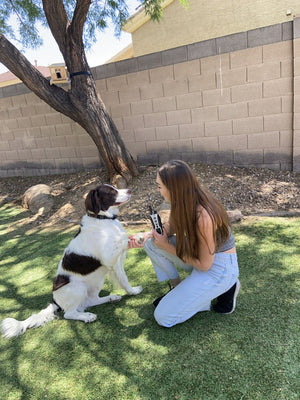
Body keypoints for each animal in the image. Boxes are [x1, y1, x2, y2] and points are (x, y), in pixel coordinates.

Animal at [1, 184, 142, 338]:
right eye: (111, 191)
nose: (129, 190)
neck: (103, 219)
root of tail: (55, 301)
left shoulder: (116, 263)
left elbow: (124, 279)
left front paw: (132, 291)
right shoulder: (109, 257)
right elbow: (123, 247)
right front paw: (140, 236)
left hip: (96, 282)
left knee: (91, 301)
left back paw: (111, 298)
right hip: (78, 287)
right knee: (69, 314)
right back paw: (87, 316)